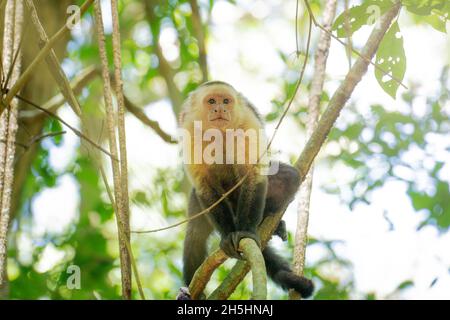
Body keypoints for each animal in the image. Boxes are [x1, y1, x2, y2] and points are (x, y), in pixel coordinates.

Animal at [178, 80, 312, 298]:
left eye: (226, 101)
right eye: (212, 101)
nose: (220, 109)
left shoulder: (248, 122)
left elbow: (253, 176)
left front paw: (244, 232)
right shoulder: (190, 129)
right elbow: (205, 186)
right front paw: (227, 236)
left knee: (289, 177)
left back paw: (272, 224)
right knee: (195, 234)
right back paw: (191, 292)